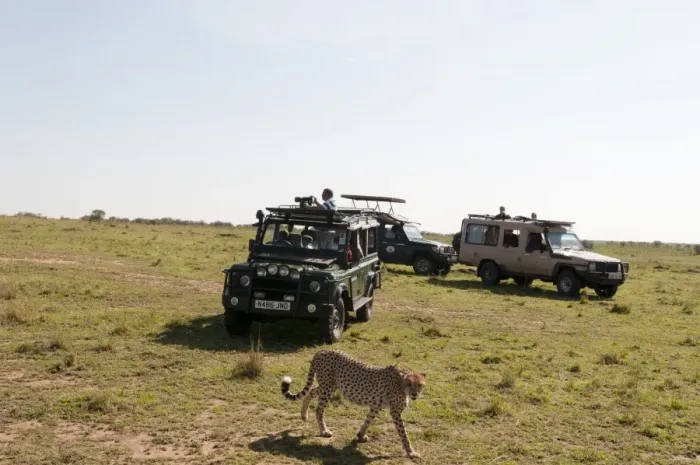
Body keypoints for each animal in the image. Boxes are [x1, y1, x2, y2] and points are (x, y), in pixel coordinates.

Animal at [280, 349, 426, 460]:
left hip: (329, 386)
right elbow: (403, 433)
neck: (401, 381)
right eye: (409, 384)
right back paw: (324, 431)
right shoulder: (395, 412)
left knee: (311, 391)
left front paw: (360, 435)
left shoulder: (376, 406)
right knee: (318, 409)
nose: (414, 394)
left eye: (420, 385)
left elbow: (368, 421)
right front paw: (411, 452)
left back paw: (304, 415)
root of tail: (322, 350)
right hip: (328, 387)